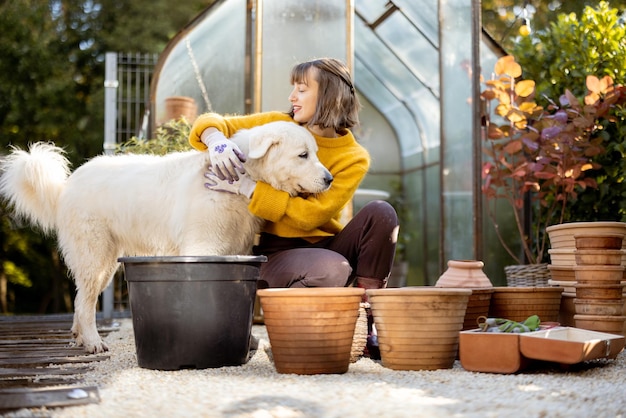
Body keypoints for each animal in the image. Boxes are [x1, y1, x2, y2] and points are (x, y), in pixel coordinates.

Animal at [1, 121, 332, 352]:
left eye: (315, 153)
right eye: (303, 155)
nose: (329, 179)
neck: (243, 175)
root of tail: (69, 183)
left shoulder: (235, 249)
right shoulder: (203, 248)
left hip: (105, 264)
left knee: (81, 297)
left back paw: (80, 337)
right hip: (95, 256)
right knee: (84, 302)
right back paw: (93, 342)